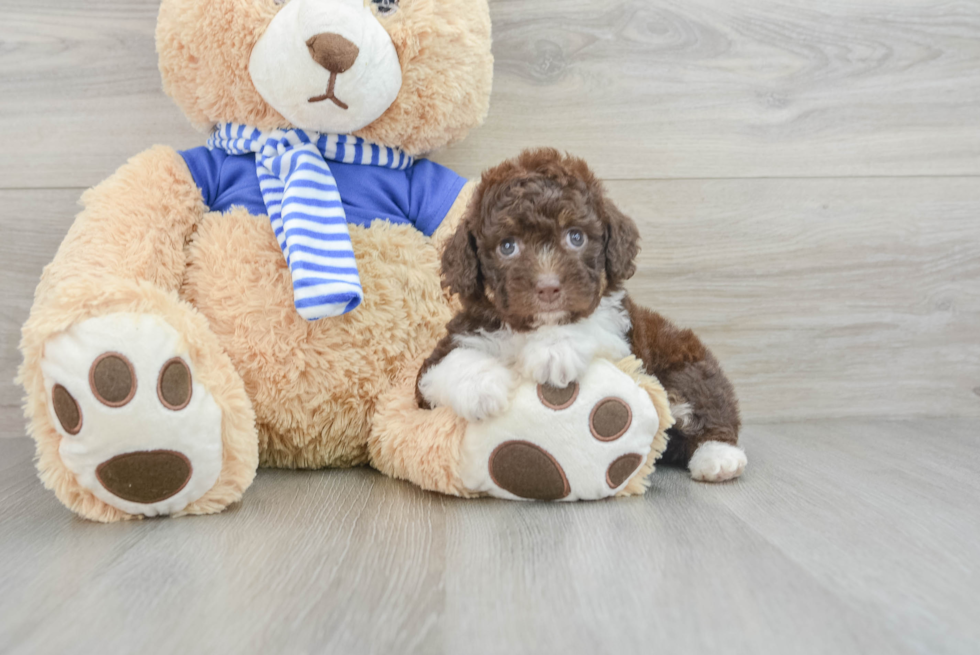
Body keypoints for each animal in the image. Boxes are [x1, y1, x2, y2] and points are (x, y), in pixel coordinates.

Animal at [418, 151, 748, 484]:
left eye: (576, 237)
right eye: (507, 246)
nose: (548, 287)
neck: (533, 326)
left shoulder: (622, 336)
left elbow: (589, 324)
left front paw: (554, 351)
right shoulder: (447, 352)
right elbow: (445, 364)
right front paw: (482, 388)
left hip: (687, 365)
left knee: (704, 404)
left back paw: (719, 457)